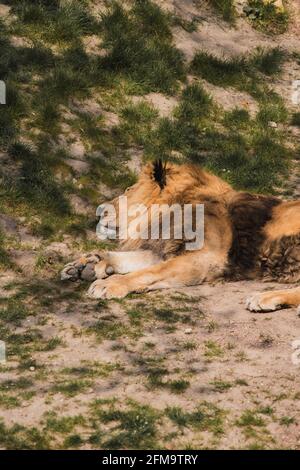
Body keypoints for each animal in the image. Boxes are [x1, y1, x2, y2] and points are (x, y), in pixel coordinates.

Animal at [60, 161, 300, 312]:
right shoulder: (167, 250)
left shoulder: (208, 257)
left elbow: (151, 272)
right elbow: (126, 259)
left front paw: (110, 284)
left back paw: (265, 298)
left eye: (128, 191)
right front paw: (85, 265)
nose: (100, 211)